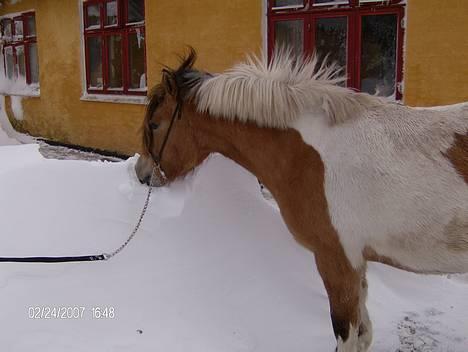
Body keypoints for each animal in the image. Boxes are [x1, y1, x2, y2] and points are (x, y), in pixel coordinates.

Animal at [134, 49, 468, 352]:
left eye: (154, 125)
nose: (141, 173)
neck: (311, 154)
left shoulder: (337, 262)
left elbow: (347, 337)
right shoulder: (357, 263)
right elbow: (364, 335)